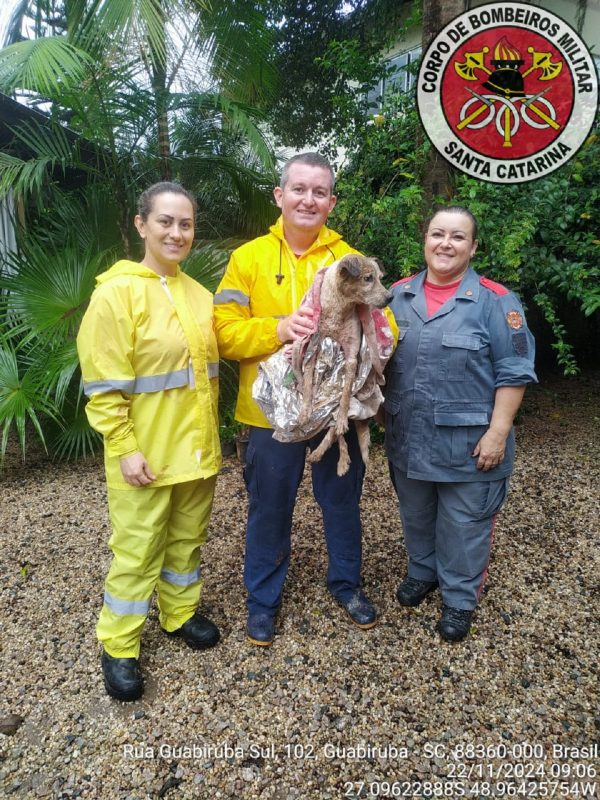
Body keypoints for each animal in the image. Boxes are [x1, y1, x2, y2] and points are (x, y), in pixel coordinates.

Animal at [294, 255, 390, 476]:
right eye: (368, 278)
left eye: (380, 278)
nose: (390, 298)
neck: (339, 308)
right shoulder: (313, 348)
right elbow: (308, 384)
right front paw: (304, 412)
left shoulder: (351, 356)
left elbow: (345, 397)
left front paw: (341, 421)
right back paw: (336, 458)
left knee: (335, 428)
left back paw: (331, 455)